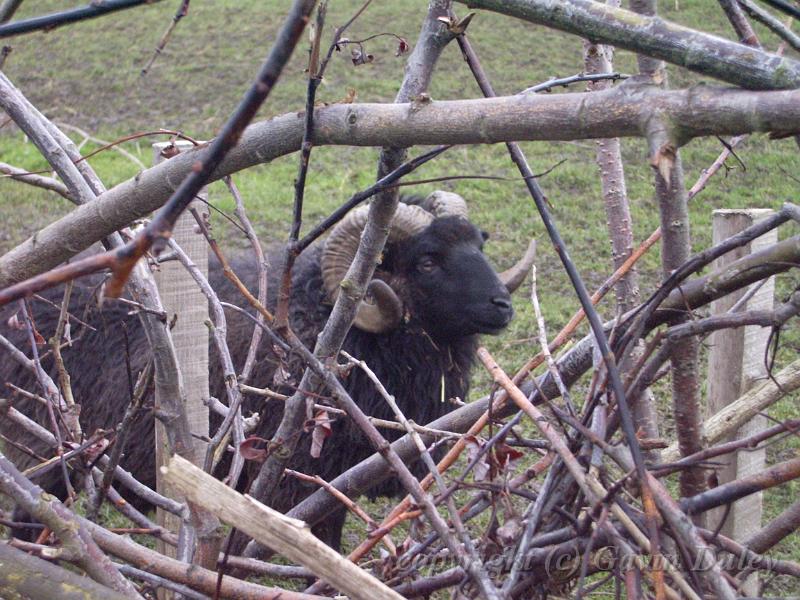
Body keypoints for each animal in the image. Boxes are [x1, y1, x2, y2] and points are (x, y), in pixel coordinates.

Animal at [1, 191, 536, 548]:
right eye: (427, 261)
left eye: (479, 244)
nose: (502, 305)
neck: (322, 323)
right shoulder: (286, 485)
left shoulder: (332, 486)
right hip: (45, 447)